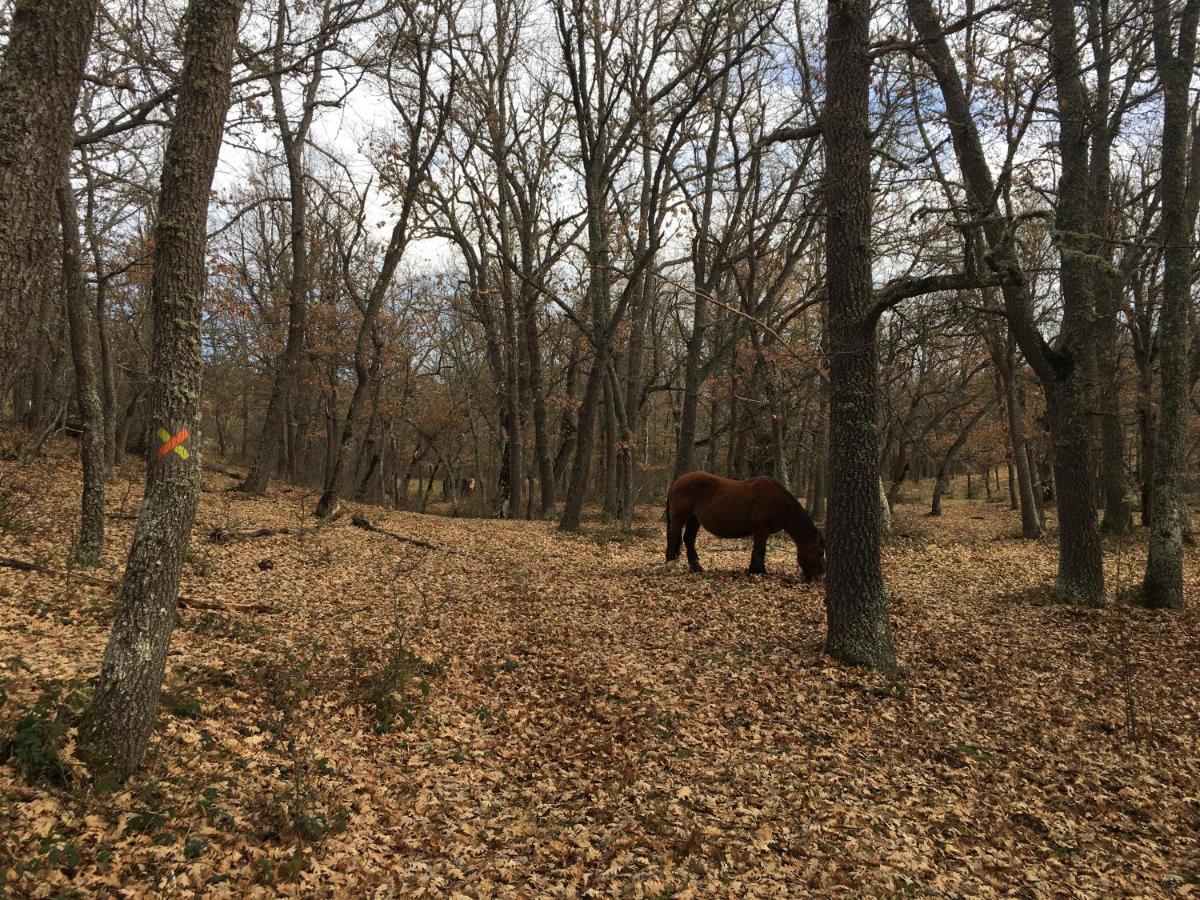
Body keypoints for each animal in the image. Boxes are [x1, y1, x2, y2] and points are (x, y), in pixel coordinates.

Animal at [667, 468, 825, 580]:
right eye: (818, 552)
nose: (820, 577)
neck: (778, 502)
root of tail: (676, 481)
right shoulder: (761, 530)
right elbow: (760, 550)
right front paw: (757, 571)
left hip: (694, 519)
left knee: (688, 539)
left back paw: (696, 566)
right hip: (679, 517)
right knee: (673, 536)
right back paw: (670, 563)